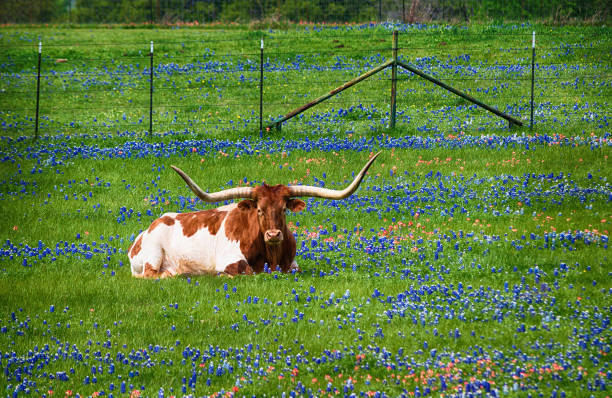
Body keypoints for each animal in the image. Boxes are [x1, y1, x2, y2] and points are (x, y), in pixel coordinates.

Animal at [128, 151, 378, 278]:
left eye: (284, 209)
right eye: (259, 209)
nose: (274, 234)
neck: (272, 256)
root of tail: (148, 227)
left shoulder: (293, 265)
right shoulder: (230, 260)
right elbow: (245, 270)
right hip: (153, 255)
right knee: (152, 274)